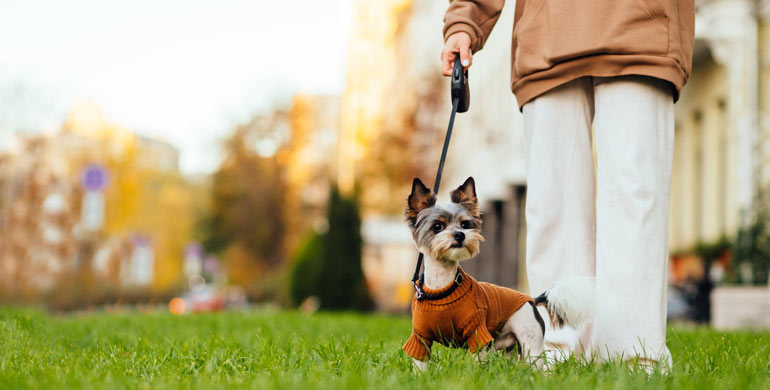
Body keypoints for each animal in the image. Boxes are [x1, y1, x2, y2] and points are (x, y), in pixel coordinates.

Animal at [402, 177, 592, 372]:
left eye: (465, 224)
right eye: (437, 226)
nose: (460, 234)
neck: (443, 286)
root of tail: (532, 300)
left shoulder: (477, 332)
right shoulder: (420, 337)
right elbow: (420, 365)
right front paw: (420, 377)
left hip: (531, 342)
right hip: (509, 348)